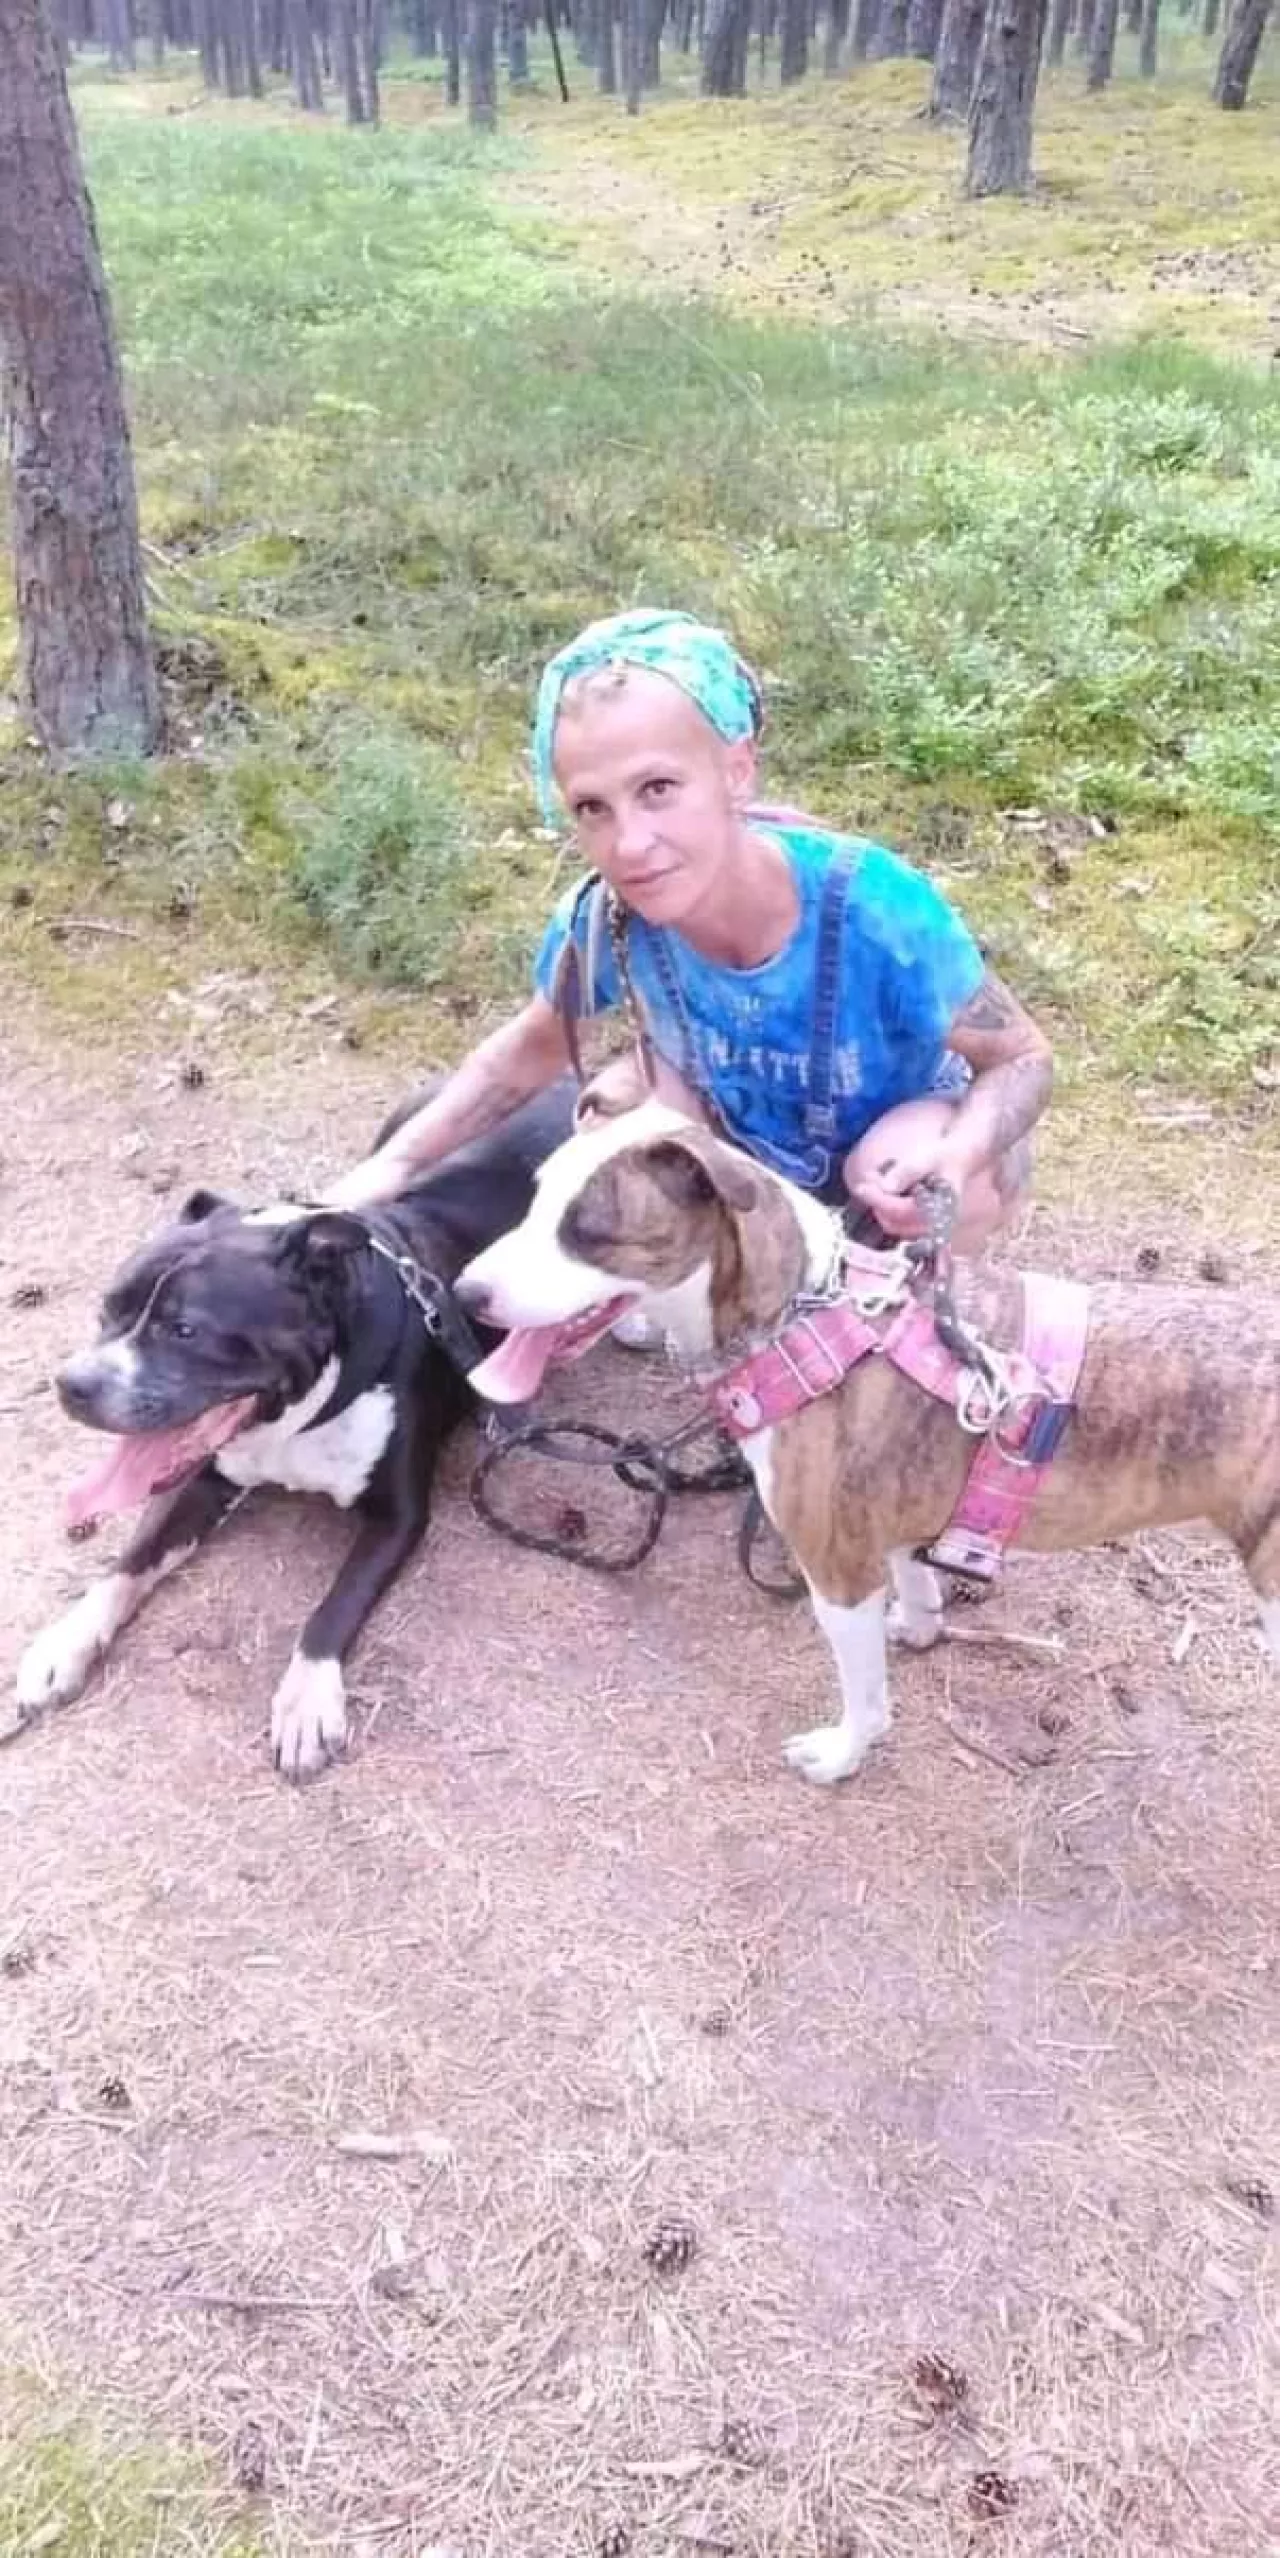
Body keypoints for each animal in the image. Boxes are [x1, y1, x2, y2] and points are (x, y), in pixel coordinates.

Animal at [13, 1083, 577, 1776]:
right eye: (105, 1309)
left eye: (184, 1330)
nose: (73, 1384)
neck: (290, 1423)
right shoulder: (204, 1477)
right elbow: (132, 1559)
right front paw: (64, 1642)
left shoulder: (399, 1516)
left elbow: (335, 1606)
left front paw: (308, 1700)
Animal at [453, 1101, 1280, 1785]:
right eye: (531, 1202)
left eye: (589, 1232)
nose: (465, 1293)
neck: (802, 1311)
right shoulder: (894, 1527)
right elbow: (914, 1584)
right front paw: (916, 1626)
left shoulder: (836, 1569)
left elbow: (865, 1696)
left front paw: (843, 1754)